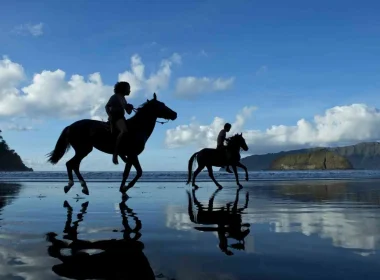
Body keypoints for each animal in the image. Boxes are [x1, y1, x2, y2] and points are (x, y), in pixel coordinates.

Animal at [46, 93, 177, 196]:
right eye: (161, 105)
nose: (175, 114)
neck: (138, 127)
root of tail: (70, 126)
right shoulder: (132, 154)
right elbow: (132, 173)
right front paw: (124, 188)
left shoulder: (131, 156)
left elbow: (134, 172)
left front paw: (124, 188)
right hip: (83, 150)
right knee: (71, 164)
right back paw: (71, 185)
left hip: (83, 150)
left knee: (74, 165)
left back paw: (84, 187)